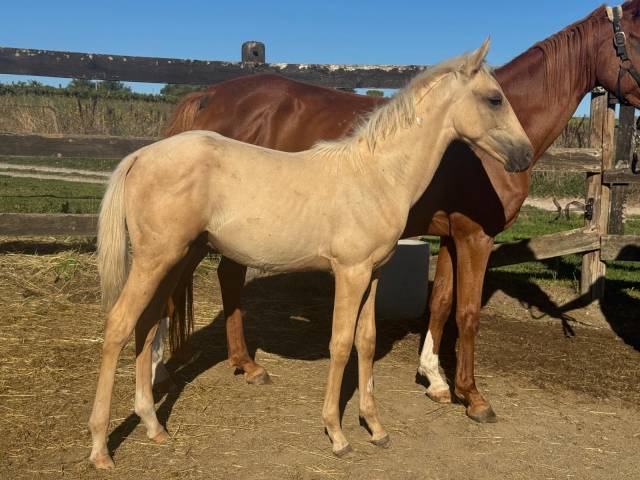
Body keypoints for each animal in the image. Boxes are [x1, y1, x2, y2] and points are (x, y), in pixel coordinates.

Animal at [89, 42, 533, 468]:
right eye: (495, 98)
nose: (525, 156)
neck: (377, 176)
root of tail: (139, 156)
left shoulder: (374, 273)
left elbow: (366, 342)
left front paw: (375, 428)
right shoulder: (350, 272)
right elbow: (340, 344)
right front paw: (336, 435)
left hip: (171, 258)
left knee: (146, 324)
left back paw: (153, 425)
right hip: (156, 259)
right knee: (119, 325)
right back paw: (101, 448)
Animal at [157, 2, 640, 423]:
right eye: (635, 37)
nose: (519, 157)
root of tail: (208, 93)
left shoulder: (451, 235)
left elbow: (441, 303)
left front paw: (435, 379)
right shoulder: (476, 236)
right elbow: (468, 313)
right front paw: (473, 396)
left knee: (226, 277)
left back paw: (244, 363)